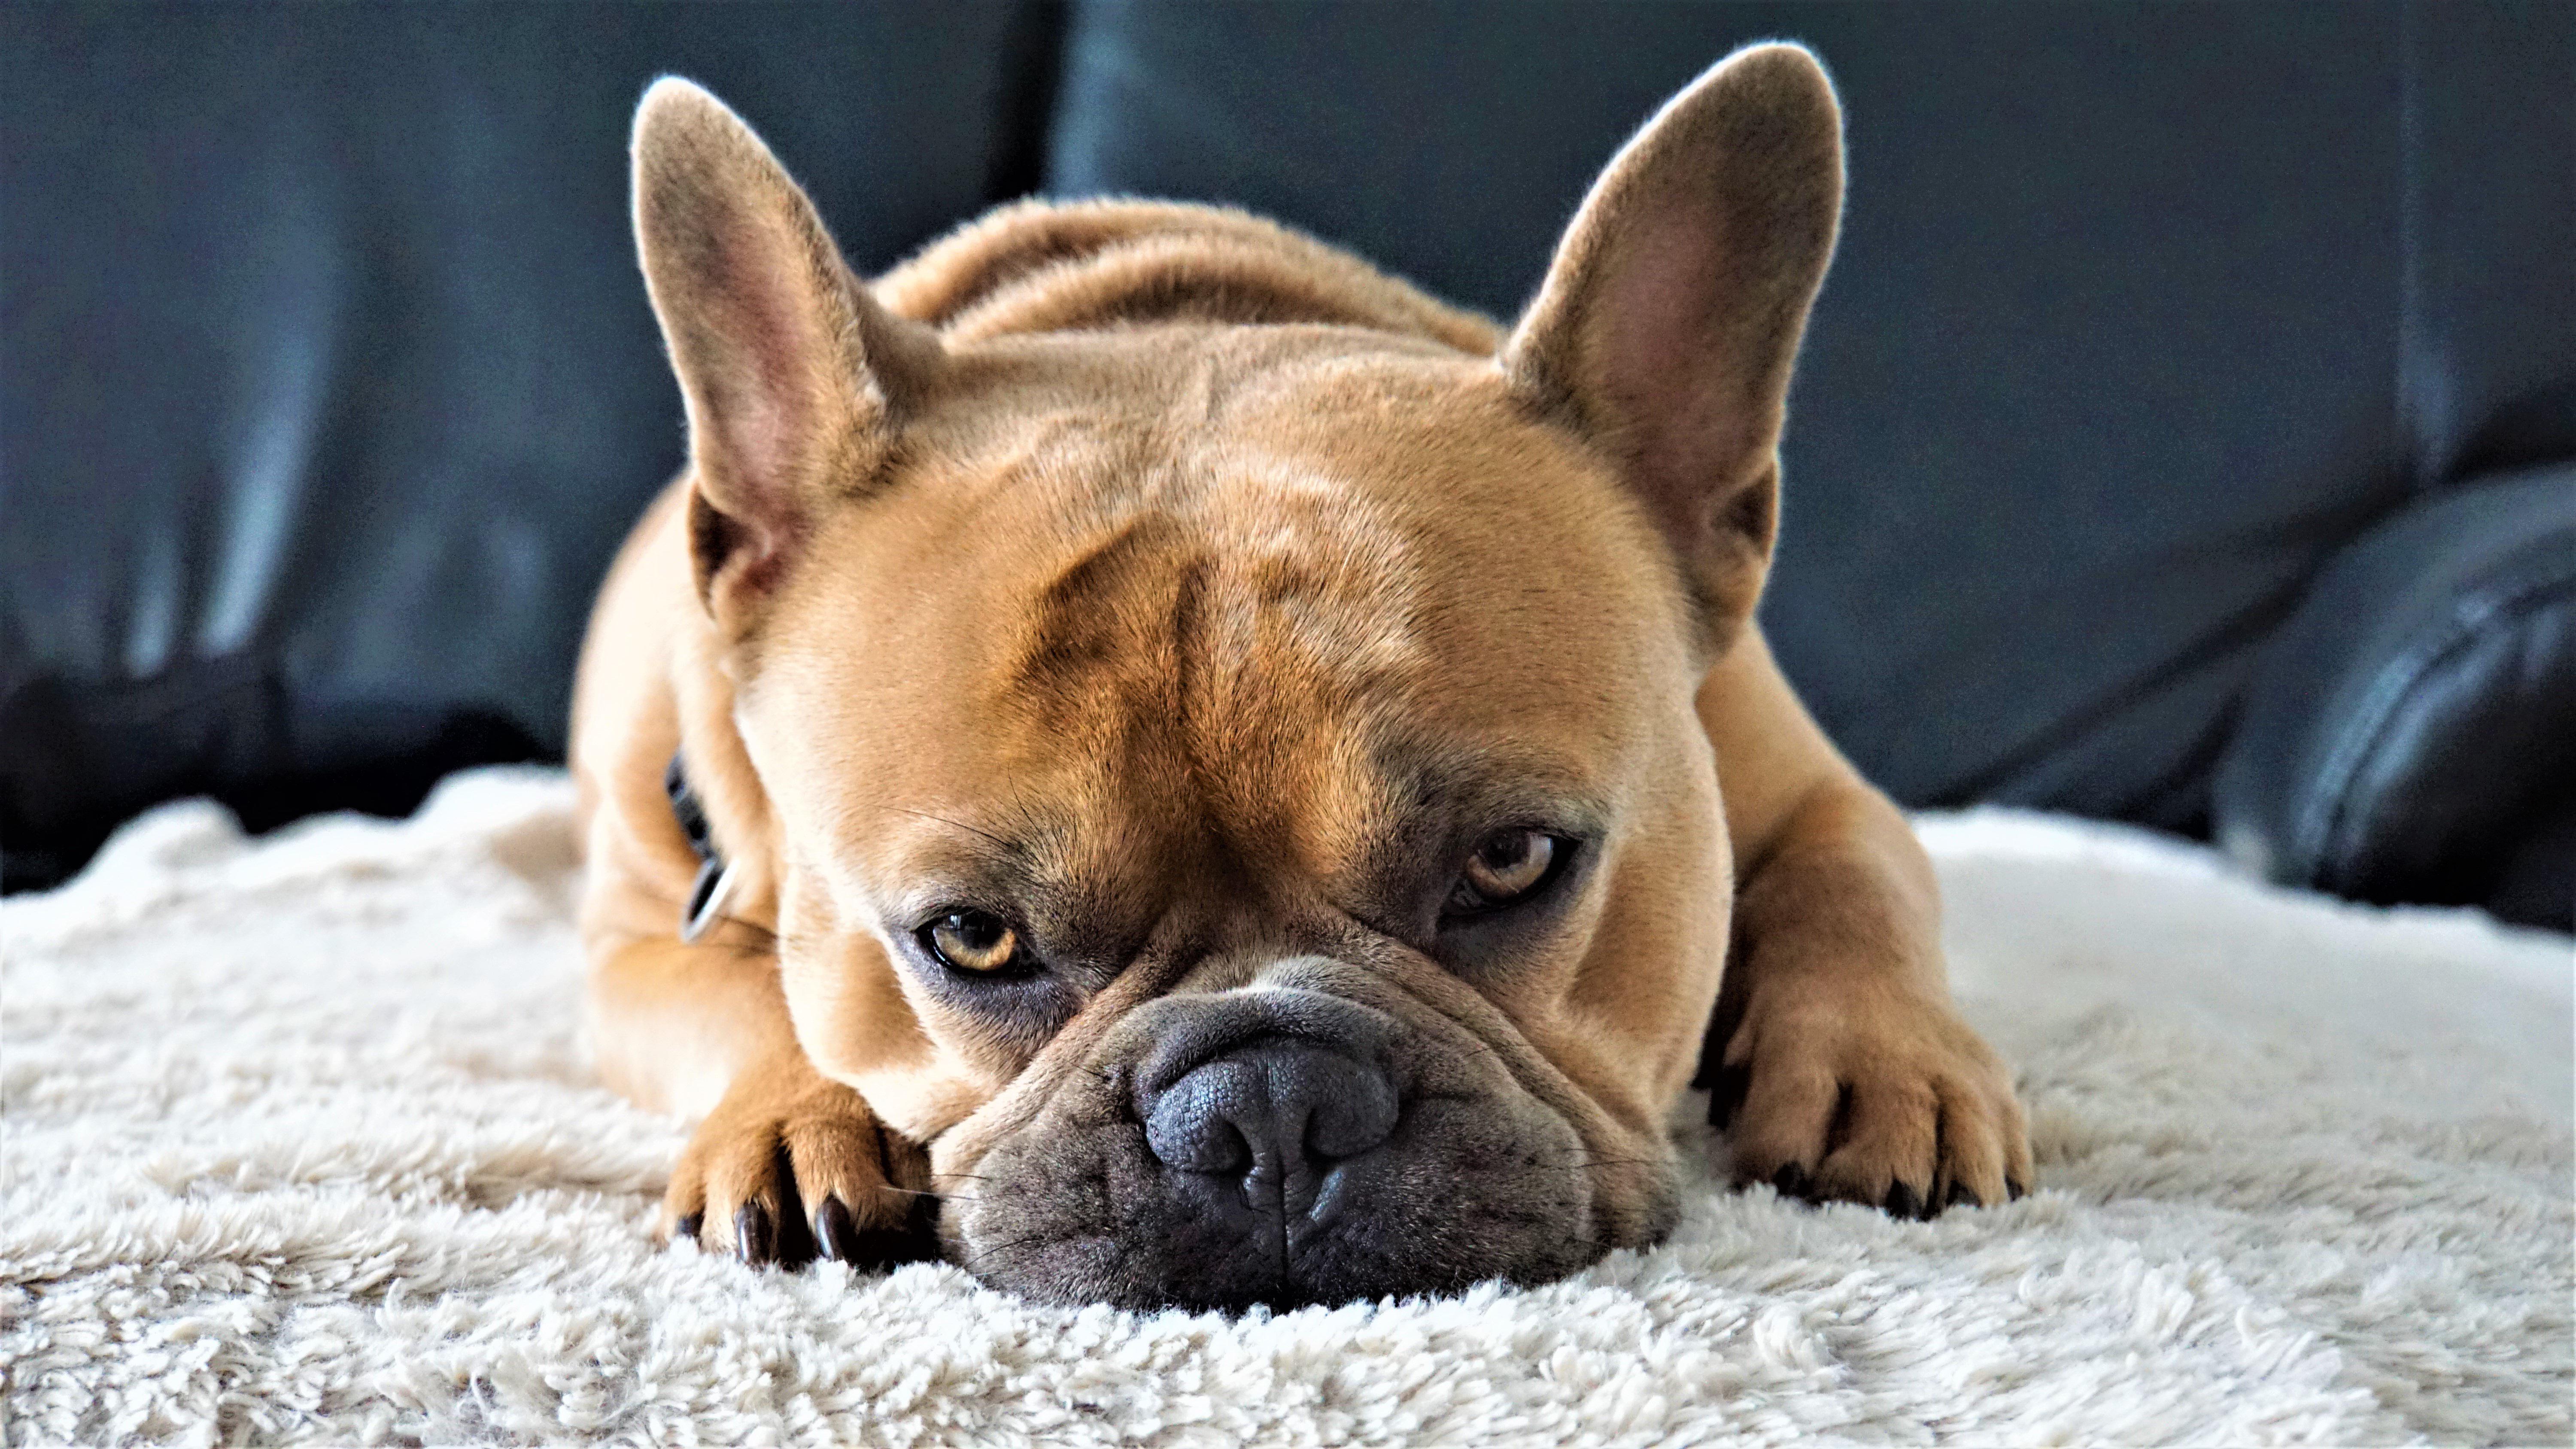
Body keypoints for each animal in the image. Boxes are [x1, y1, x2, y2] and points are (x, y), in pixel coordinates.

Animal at [569, 42, 2030, 1318]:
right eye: (970, 938)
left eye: (1513, 861)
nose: (1268, 1104)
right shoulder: (632, 943)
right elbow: (740, 992)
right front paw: (793, 1118)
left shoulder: (1809, 790)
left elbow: (1858, 876)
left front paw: (1887, 1067)